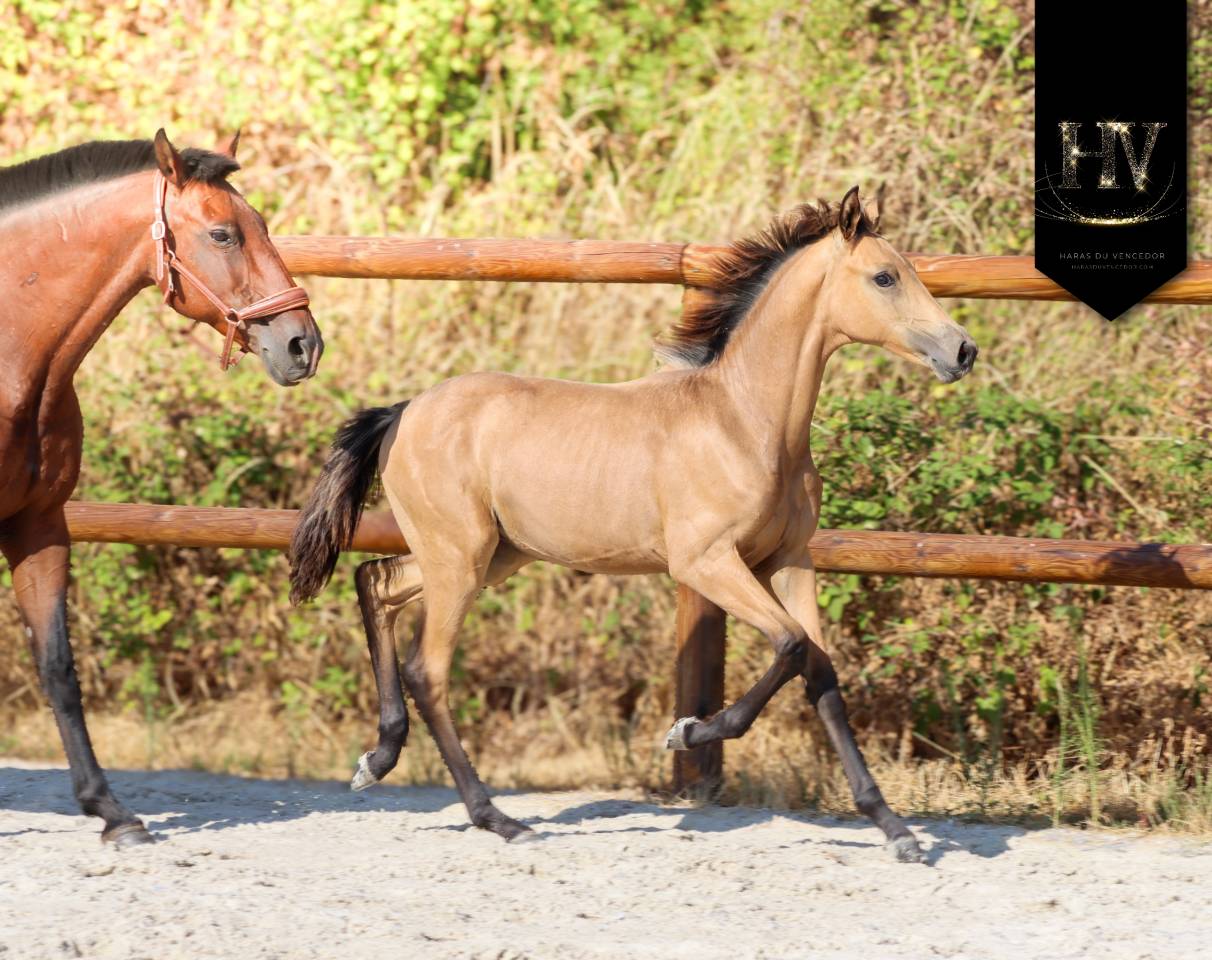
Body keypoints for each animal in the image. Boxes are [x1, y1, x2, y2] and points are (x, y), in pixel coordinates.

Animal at [289, 187, 977, 862]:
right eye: (885, 276)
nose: (962, 350)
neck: (744, 422)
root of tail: (402, 413)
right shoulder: (705, 562)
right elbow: (790, 646)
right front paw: (687, 731)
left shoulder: (789, 561)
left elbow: (821, 672)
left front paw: (895, 829)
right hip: (459, 559)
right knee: (428, 670)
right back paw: (500, 819)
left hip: (485, 555)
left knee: (375, 583)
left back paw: (378, 759)